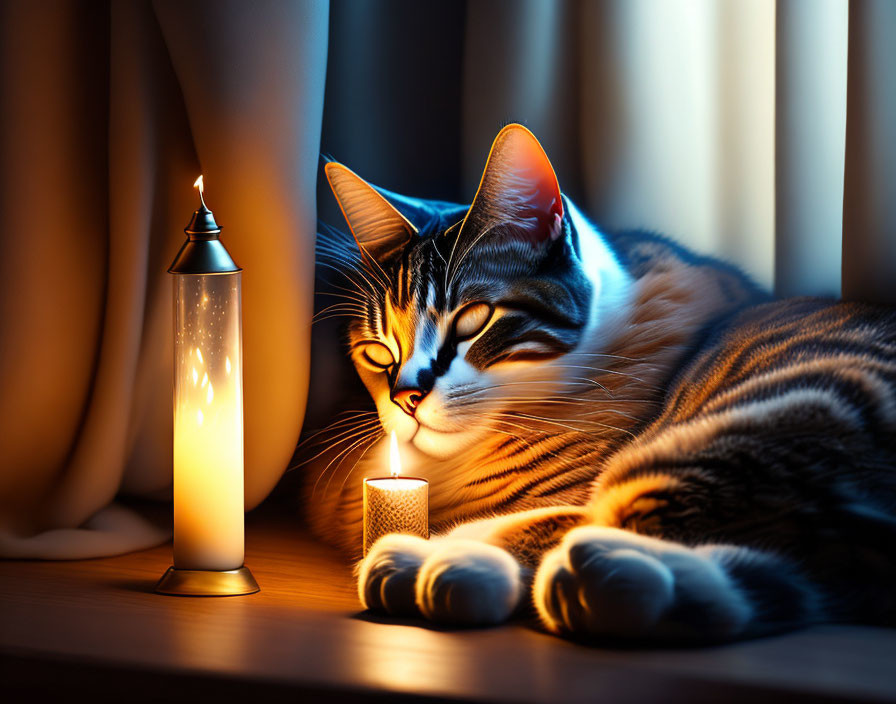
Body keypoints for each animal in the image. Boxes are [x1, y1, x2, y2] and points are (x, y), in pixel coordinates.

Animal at [306, 122, 896, 644]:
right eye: (378, 350)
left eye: (473, 319)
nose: (406, 397)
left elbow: (539, 521)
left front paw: (441, 555)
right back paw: (616, 581)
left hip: (747, 427)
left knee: (612, 521)